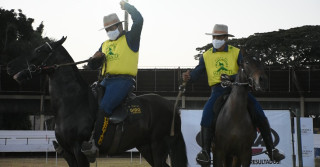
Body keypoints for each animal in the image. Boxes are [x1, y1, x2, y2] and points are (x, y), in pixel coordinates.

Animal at [6, 36, 188, 167]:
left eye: (39, 50)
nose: (9, 66)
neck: (73, 104)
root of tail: (171, 107)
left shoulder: (78, 150)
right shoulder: (68, 153)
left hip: (158, 146)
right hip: (145, 147)